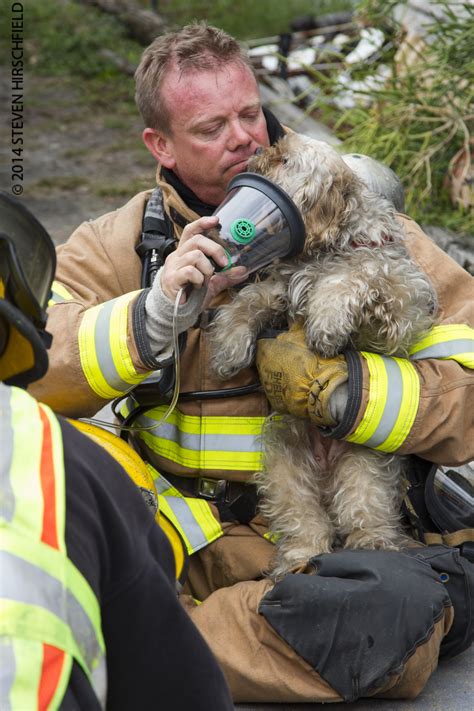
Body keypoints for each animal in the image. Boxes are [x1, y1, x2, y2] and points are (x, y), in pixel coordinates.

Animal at [209, 135, 436, 580]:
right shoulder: (279, 287)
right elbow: (250, 300)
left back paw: (374, 546)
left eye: (283, 158)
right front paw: (229, 342)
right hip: (286, 468)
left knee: (363, 516)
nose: (254, 153)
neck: (331, 245)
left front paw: (326, 322)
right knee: (306, 524)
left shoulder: (398, 308)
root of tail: (326, 464)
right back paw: (297, 562)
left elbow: (355, 275)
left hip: (365, 468)